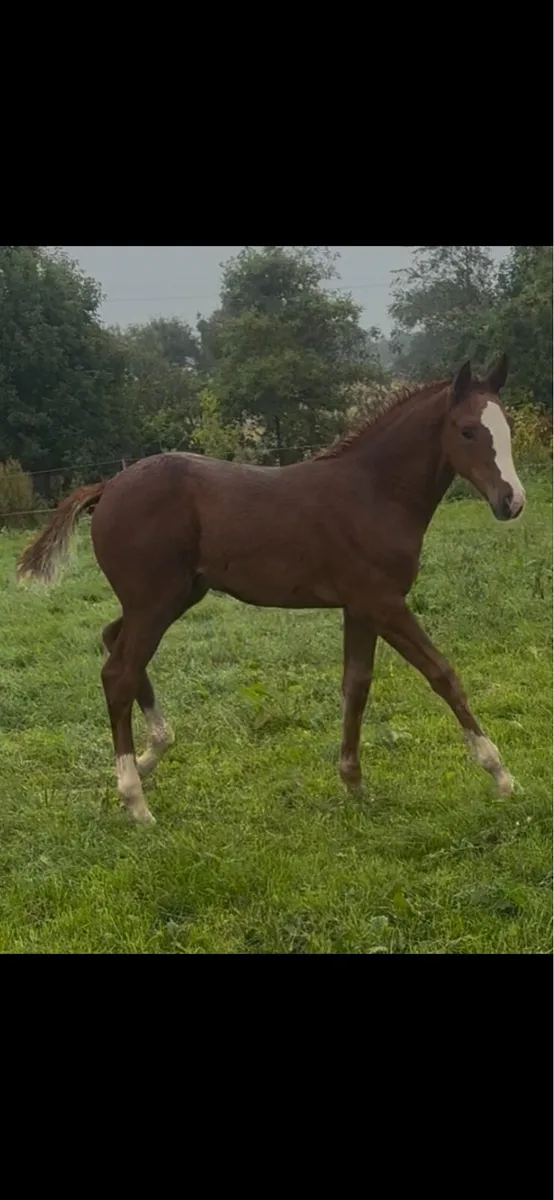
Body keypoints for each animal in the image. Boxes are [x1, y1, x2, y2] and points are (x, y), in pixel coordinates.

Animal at [17, 354, 525, 825]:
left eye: (506, 429)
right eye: (466, 431)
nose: (512, 501)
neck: (374, 492)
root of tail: (108, 486)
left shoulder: (359, 607)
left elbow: (356, 685)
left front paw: (353, 782)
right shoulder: (383, 602)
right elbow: (442, 674)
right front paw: (501, 775)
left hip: (174, 596)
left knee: (113, 643)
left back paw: (149, 754)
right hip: (154, 600)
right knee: (118, 673)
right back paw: (136, 801)